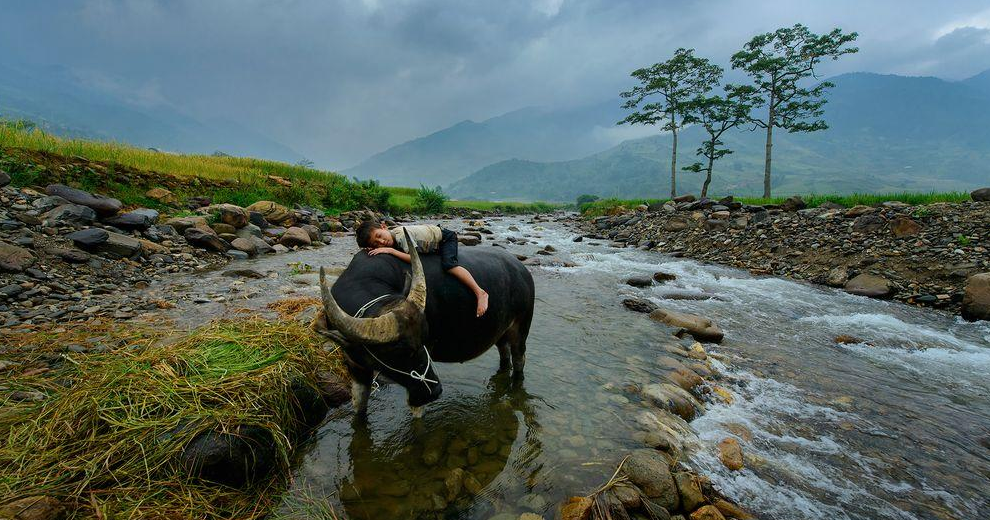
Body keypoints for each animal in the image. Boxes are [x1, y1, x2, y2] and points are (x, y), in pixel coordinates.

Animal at [316, 229, 535, 417]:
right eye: (400, 352)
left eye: (425, 340)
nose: (435, 391)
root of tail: (521, 269)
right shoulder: (355, 365)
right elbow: (359, 406)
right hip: (501, 332)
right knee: (504, 355)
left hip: (522, 327)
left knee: (519, 359)